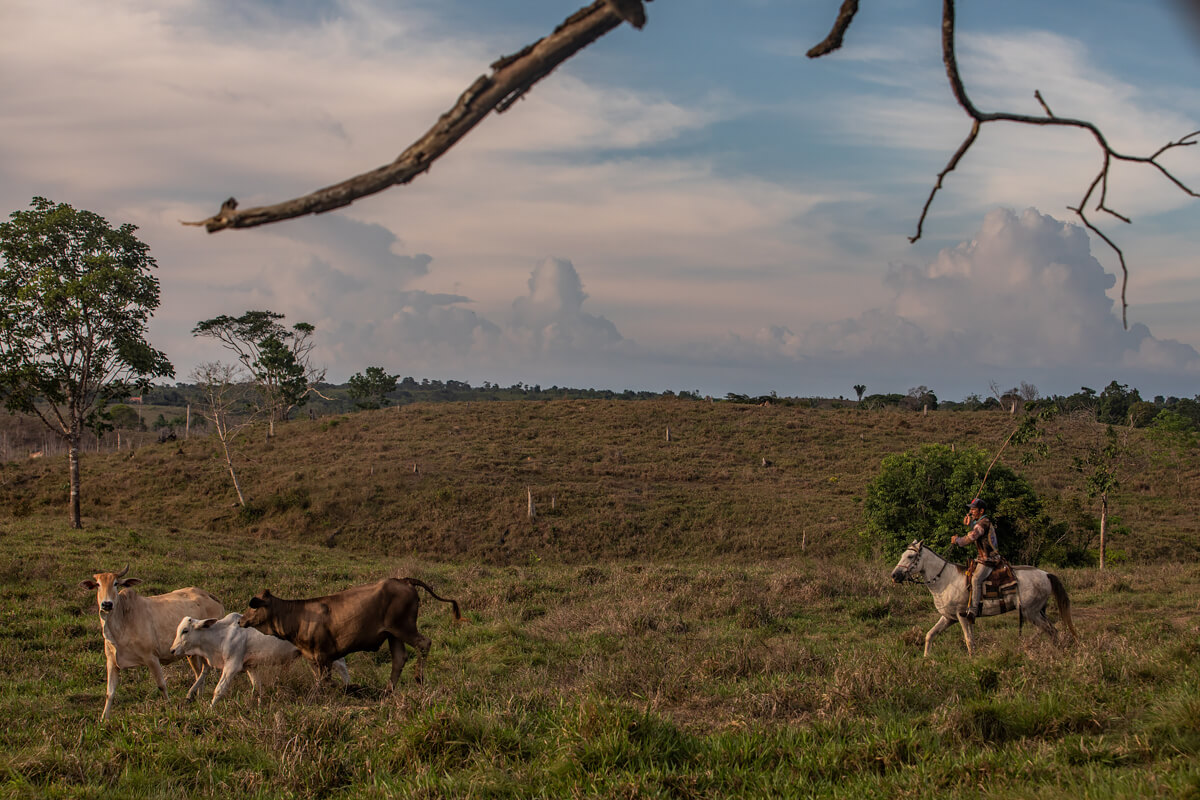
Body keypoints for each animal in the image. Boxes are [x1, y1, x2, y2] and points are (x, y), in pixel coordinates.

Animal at [79, 563, 225, 719]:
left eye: (116, 583)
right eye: (98, 585)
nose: (107, 604)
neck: (123, 621)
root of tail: (210, 596)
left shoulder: (151, 657)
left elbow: (161, 685)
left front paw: (169, 707)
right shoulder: (112, 662)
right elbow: (110, 693)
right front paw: (103, 718)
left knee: (207, 669)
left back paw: (192, 694)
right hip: (192, 653)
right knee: (200, 671)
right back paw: (198, 697)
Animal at [169, 618, 350, 705]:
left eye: (185, 631)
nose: (172, 650)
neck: (222, 635)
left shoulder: (231, 666)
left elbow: (219, 690)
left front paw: (210, 709)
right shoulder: (250, 667)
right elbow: (257, 687)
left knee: (342, 666)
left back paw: (348, 688)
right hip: (311, 658)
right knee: (319, 675)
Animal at [237, 578, 458, 690]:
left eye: (253, 607)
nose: (240, 620)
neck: (298, 617)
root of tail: (403, 580)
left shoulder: (323, 655)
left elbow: (325, 681)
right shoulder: (312, 658)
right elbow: (318, 681)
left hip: (404, 627)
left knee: (424, 643)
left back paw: (419, 679)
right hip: (393, 633)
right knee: (399, 658)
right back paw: (388, 691)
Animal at [892, 537, 1080, 657]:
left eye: (910, 556)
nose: (894, 575)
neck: (945, 579)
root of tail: (1046, 574)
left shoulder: (962, 615)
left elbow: (968, 640)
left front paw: (971, 659)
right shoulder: (948, 617)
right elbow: (930, 635)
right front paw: (926, 658)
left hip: (1030, 612)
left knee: (1049, 630)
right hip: (1038, 611)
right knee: (1050, 629)